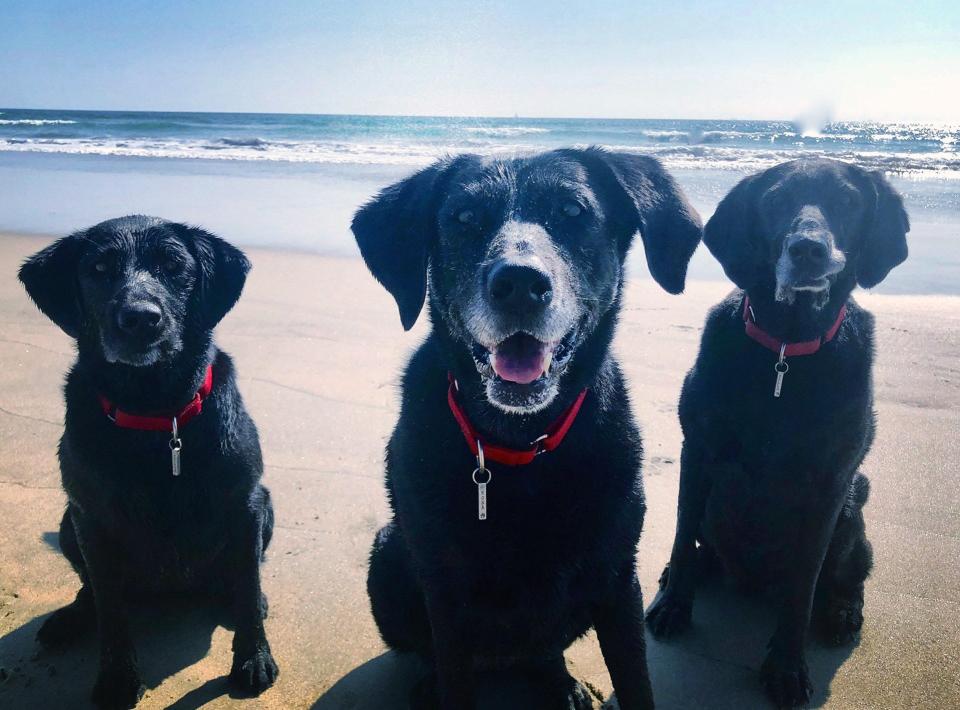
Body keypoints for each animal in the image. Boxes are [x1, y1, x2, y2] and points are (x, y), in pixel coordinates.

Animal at [18, 217, 278, 710]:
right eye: (99, 268)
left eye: (174, 266)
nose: (140, 317)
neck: (156, 413)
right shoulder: (92, 520)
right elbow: (111, 611)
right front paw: (118, 678)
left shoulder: (245, 504)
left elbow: (249, 586)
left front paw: (253, 658)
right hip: (68, 522)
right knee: (92, 592)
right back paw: (70, 618)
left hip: (267, 508)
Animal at [348, 147, 700, 708]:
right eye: (464, 217)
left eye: (574, 211)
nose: (518, 284)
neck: (520, 444)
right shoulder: (446, 595)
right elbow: (453, 675)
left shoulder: (618, 580)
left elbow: (636, 683)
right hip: (387, 553)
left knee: (544, 650)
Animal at [644, 159, 908, 708]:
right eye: (776, 201)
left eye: (847, 201)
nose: (808, 250)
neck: (787, 350)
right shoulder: (697, 452)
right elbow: (679, 536)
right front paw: (674, 604)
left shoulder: (830, 485)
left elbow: (804, 586)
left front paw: (786, 666)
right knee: (698, 548)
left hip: (852, 509)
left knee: (852, 574)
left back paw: (841, 611)